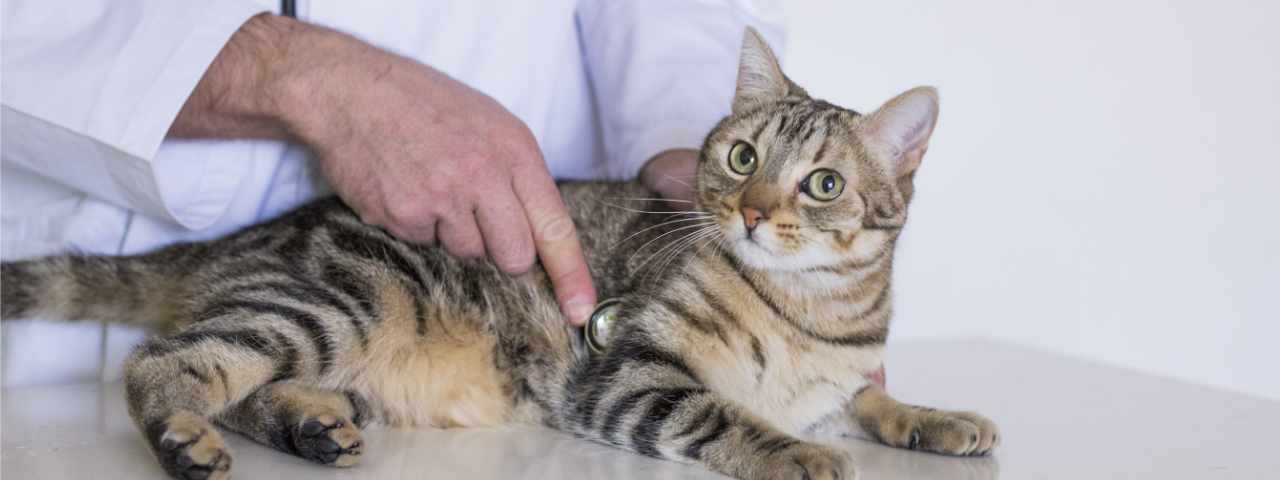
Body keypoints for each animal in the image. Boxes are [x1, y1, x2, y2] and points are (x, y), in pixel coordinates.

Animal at [0, 28, 998, 478]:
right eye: (743, 159)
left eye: (822, 184)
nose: (753, 213)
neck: (811, 314)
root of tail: (247, 238)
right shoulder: (627, 373)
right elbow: (729, 415)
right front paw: (796, 451)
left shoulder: (838, 379)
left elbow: (869, 400)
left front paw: (938, 416)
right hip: (340, 302)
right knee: (163, 360)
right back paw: (185, 435)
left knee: (237, 377)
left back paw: (309, 424)